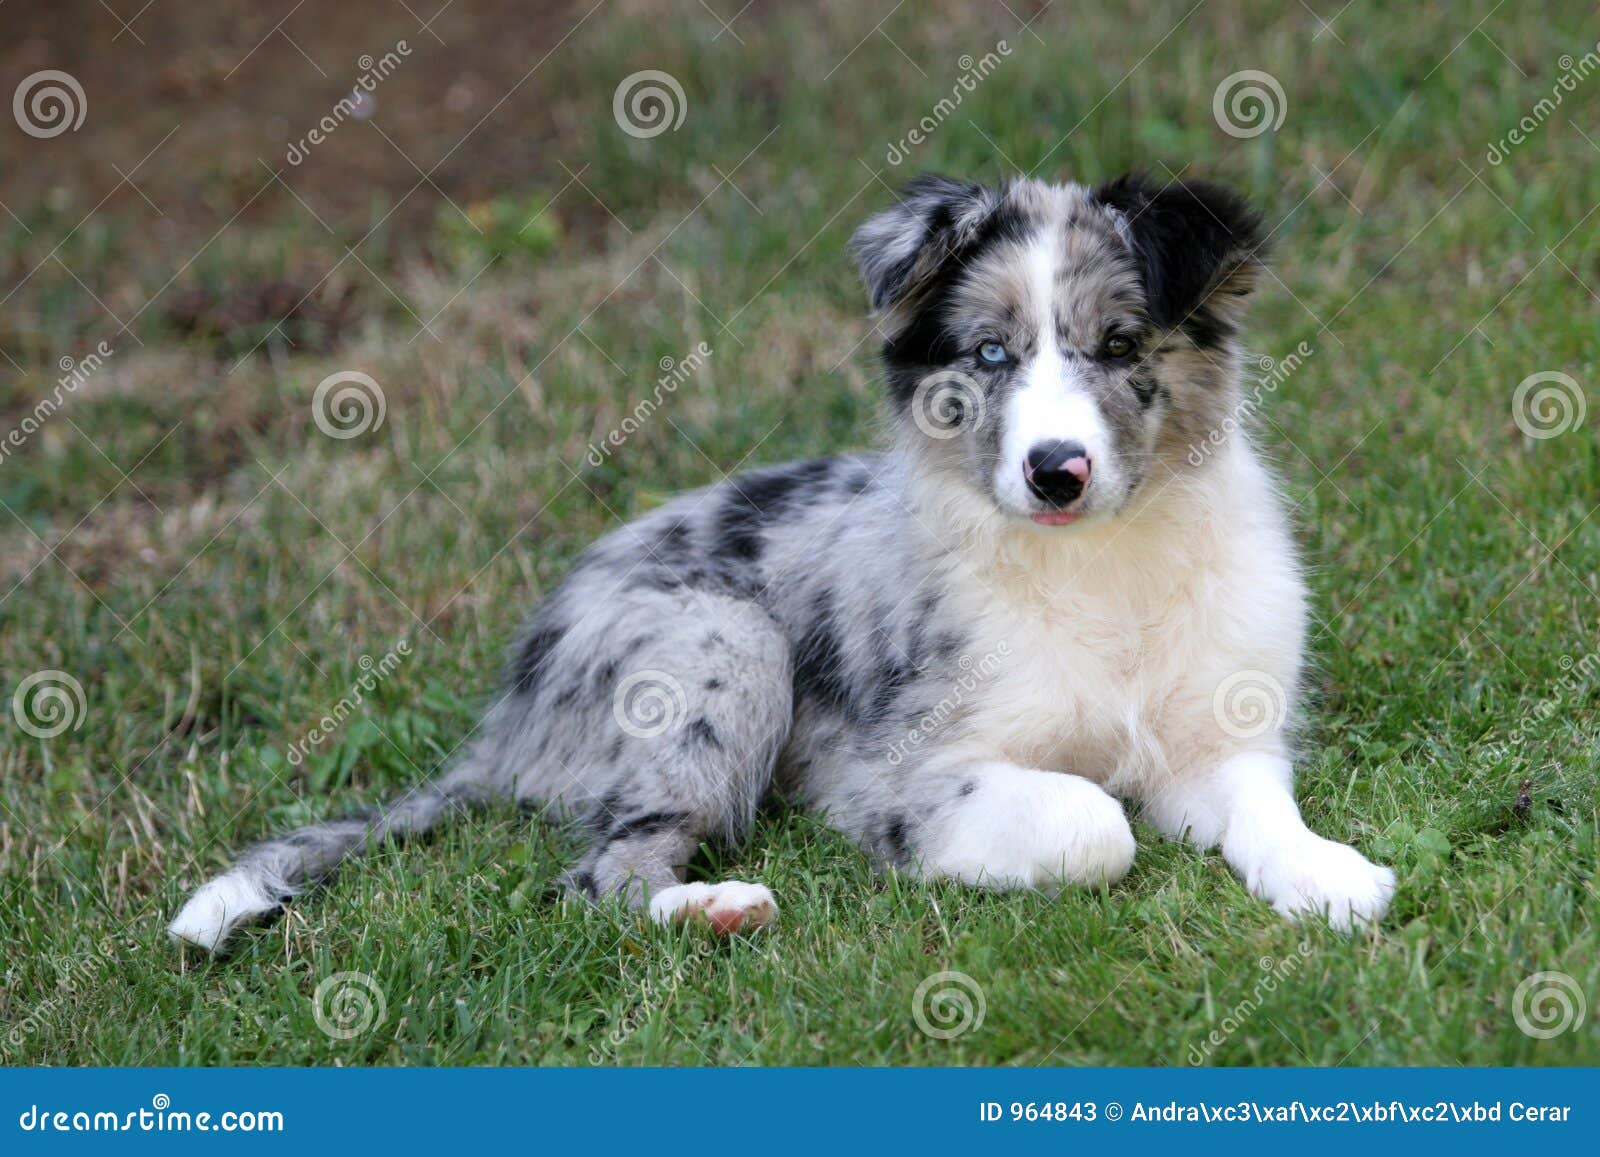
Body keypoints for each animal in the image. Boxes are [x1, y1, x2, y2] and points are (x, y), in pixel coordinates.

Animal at [175, 172, 1395, 947]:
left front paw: (1329, 874)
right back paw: (707, 910)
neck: (1099, 562)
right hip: (722, 642)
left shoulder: (1214, 728)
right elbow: (1093, 822)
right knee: (602, 872)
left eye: (1120, 344)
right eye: (988, 355)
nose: (1057, 471)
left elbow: (1259, 805)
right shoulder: (897, 772)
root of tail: (508, 711)